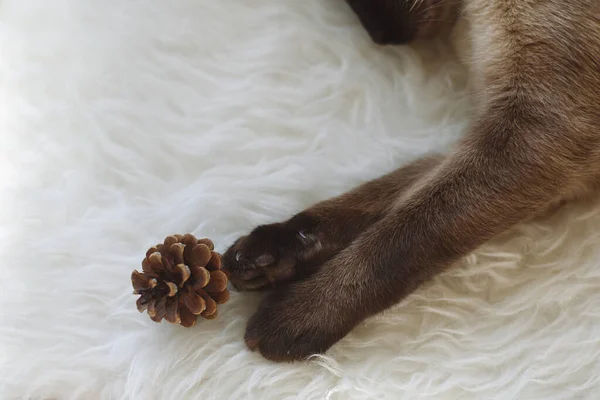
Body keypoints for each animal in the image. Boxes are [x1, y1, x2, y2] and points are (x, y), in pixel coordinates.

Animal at [220, 0, 600, 360]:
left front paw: (295, 317)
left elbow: (399, 240)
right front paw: (263, 258)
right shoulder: (500, 137)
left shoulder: (538, 134)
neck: (468, 17)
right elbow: (379, 200)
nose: (384, 36)